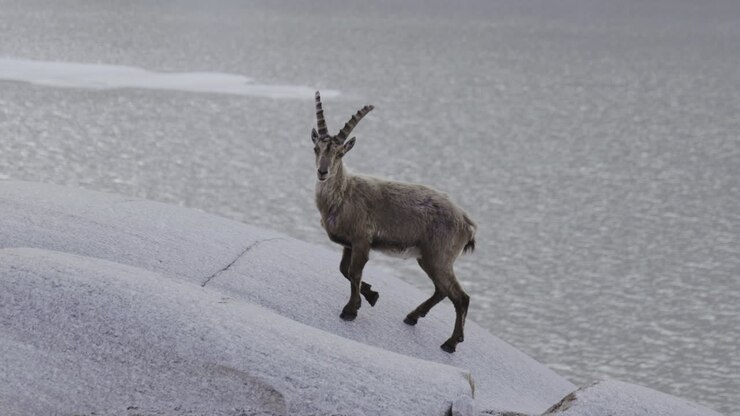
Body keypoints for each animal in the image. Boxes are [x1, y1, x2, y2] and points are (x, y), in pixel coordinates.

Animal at [310, 91, 477, 353]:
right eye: (316, 148)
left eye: (340, 153)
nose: (322, 172)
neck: (344, 194)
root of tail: (467, 224)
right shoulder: (349, 244)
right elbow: (344, 270)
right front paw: (371, 295)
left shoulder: (362, 240)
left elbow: (354, 273)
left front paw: (350, 310)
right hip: (428, 258)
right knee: (442, 290)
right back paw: (413, 316)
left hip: (440, 257)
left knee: (461, 297)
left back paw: (450, 343)